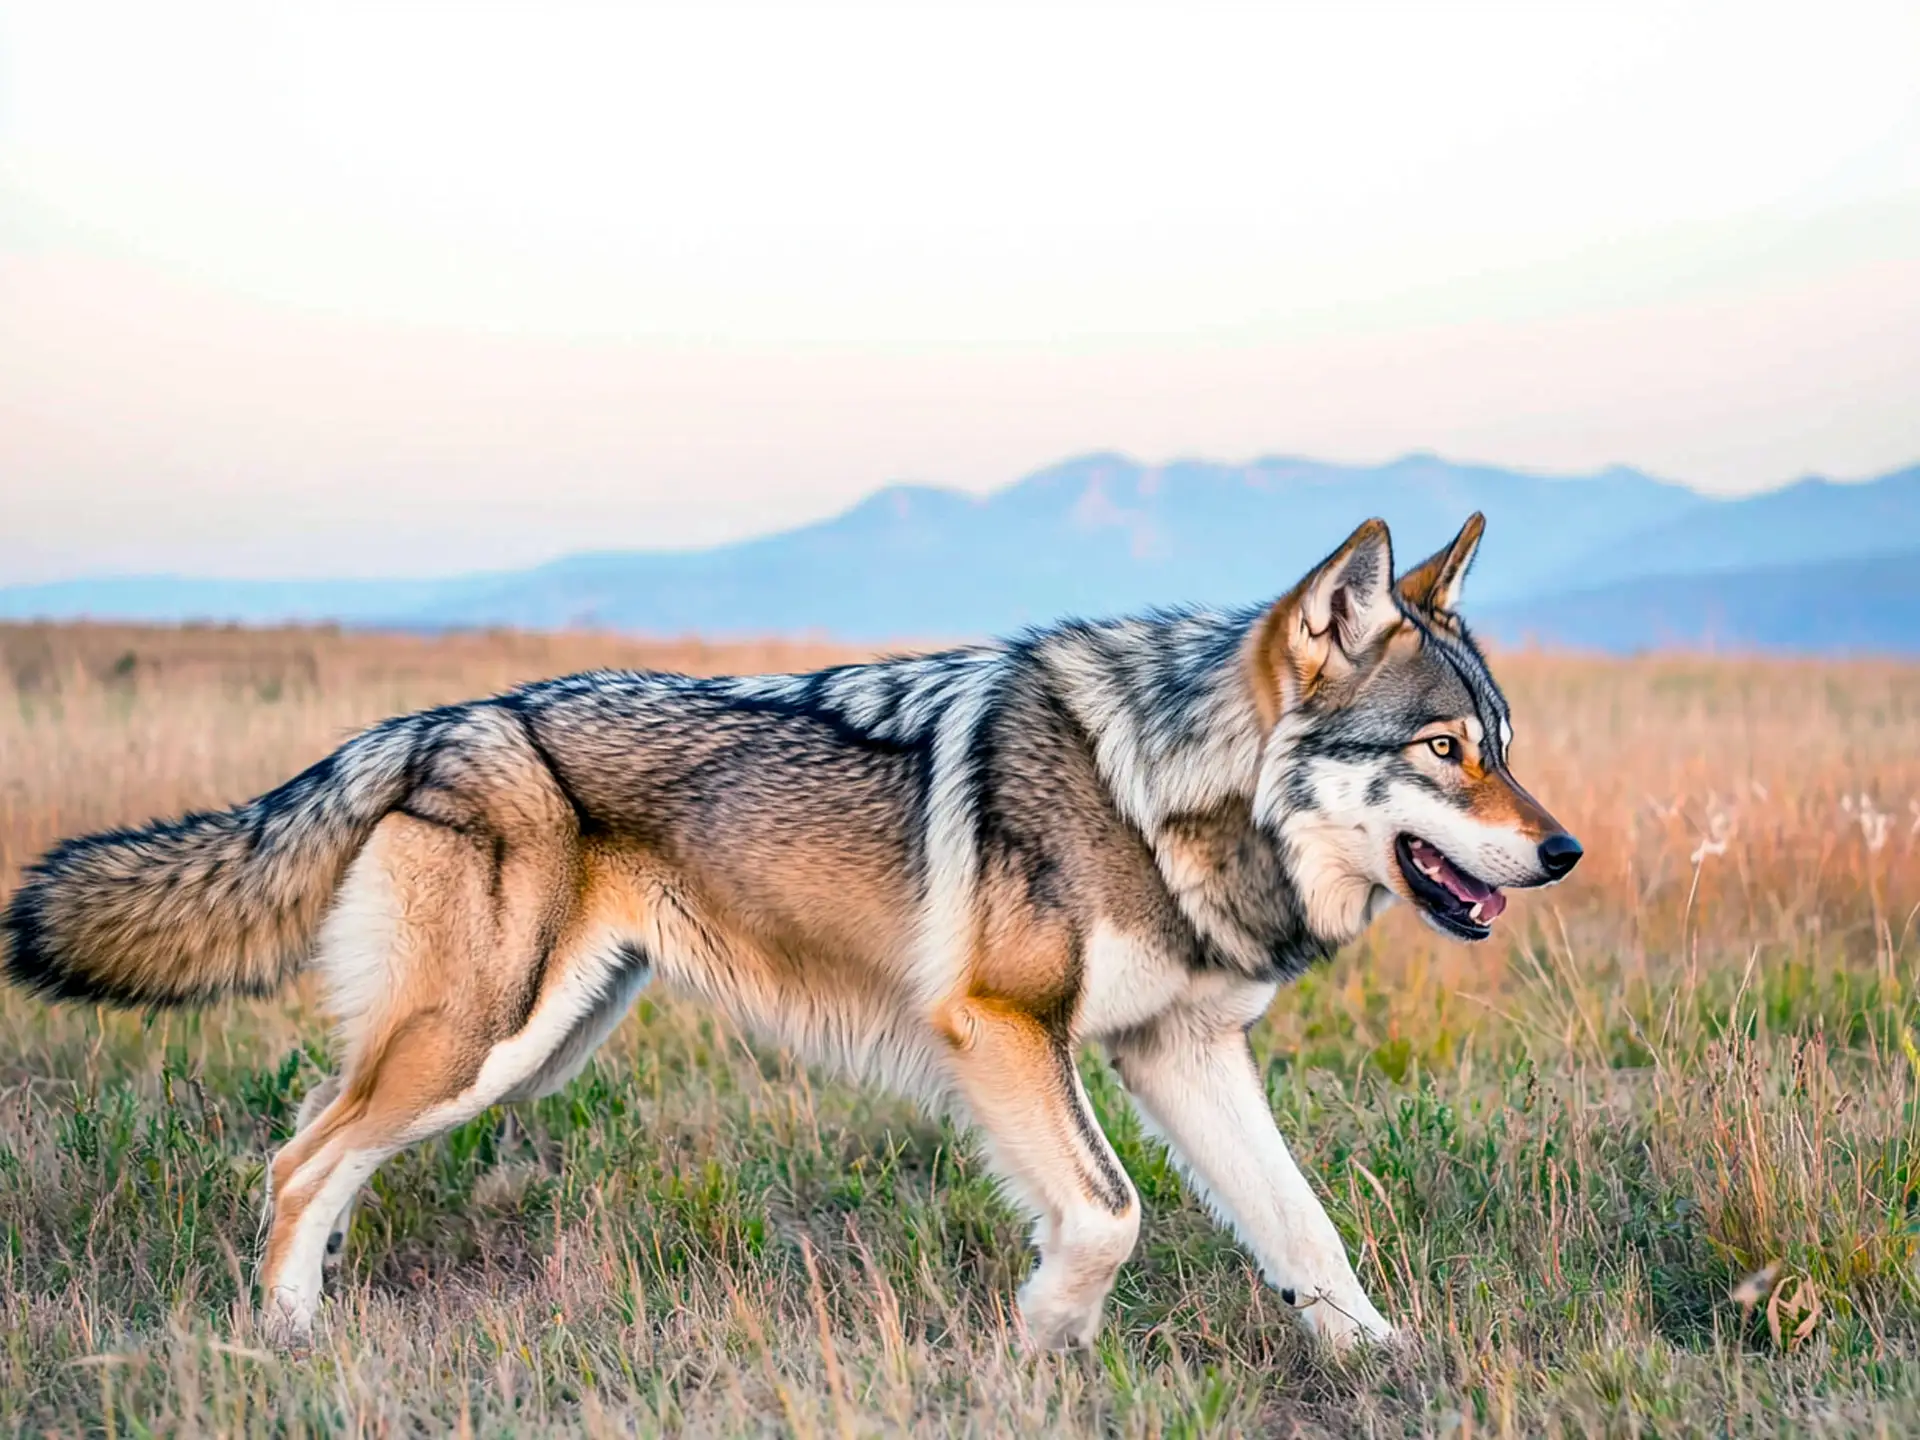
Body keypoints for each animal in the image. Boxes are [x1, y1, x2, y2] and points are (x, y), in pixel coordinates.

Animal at [7, 514, 1582, 1351]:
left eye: (1504, 745)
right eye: (1443, 750)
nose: (1562, 852)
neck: (1160, 792)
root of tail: (427, 721)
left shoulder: (1181, 1054)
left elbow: (1305, 1231)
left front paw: (1384, 1368)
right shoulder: (1004, 1030)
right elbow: (1109, 1216)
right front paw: (1044, 1346)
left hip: (532, 1048)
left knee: (311, 1153)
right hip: (480, 1048)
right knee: (295, 1160)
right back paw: (288, 1339)